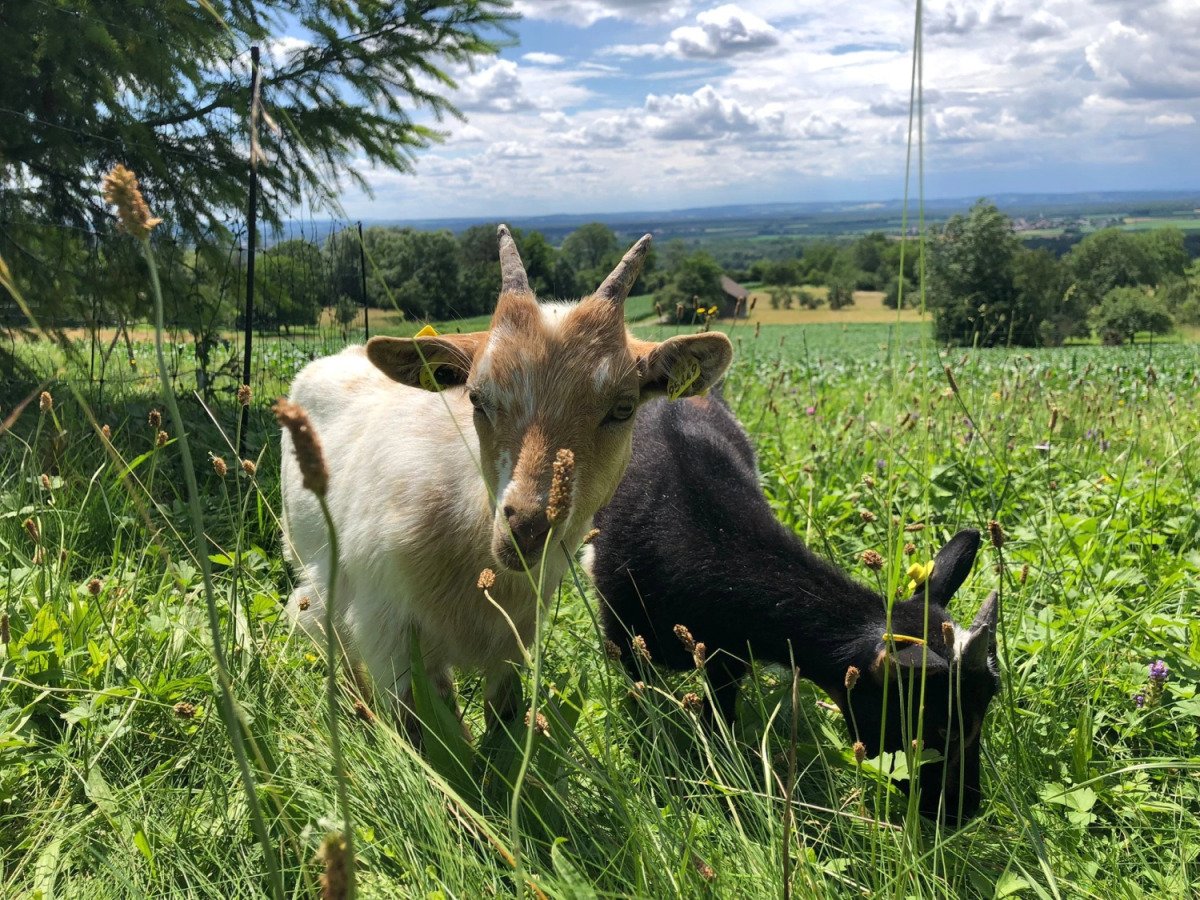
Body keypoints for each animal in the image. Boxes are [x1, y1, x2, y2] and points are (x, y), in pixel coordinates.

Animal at [280, 226, 733, 731]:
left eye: (623, 408)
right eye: (477, 398)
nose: (526, 527)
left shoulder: (515, 640)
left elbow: (504, 715)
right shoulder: (391, 639)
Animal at [589, 394, 1000, 823]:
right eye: (944, 727)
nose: (964, 811)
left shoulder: (726, 657)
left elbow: (719, 718)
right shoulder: (623, 637)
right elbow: (642, 699)